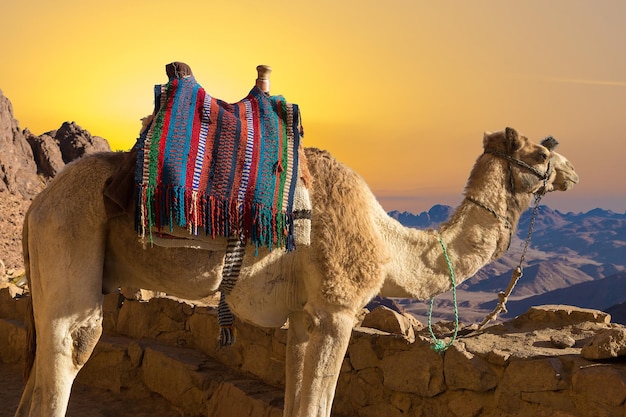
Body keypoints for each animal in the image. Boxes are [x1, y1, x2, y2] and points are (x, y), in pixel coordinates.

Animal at [14, 127, 576, 416]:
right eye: (540, 153)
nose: (571, 172)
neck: (387, 244)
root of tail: (37, 203)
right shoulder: (338, 310)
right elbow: (318, 403)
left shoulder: (305, 316)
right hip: (70, 238)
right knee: (73, 344)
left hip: (50, 260)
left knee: (41, 359)